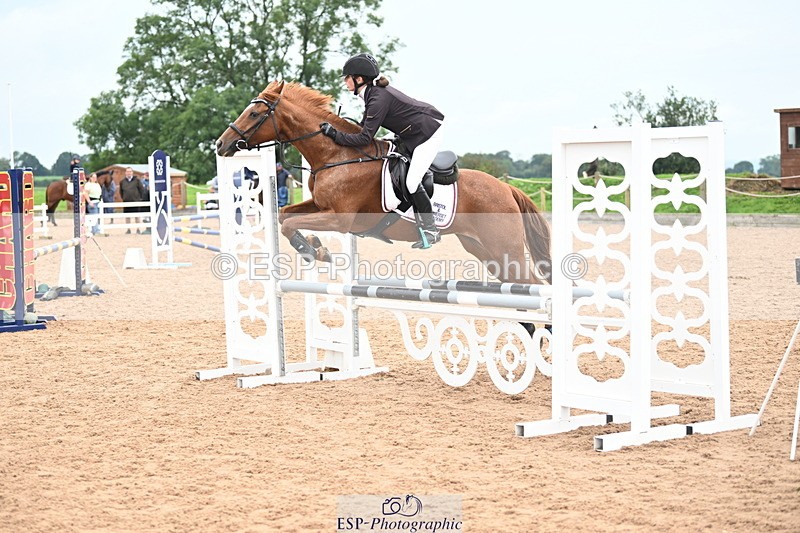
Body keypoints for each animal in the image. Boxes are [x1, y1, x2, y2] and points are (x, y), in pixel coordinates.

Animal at [214, 80, 551, 288]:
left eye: (254, 113)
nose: (221, 144)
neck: (338, 155)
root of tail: (507, 188)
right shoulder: (319, 206)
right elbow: (284, 216)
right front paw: (314, 248)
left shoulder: (339, 219)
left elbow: (289, 223)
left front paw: (316, 252)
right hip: (484, 249)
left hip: (503, 246)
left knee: (533, 285)